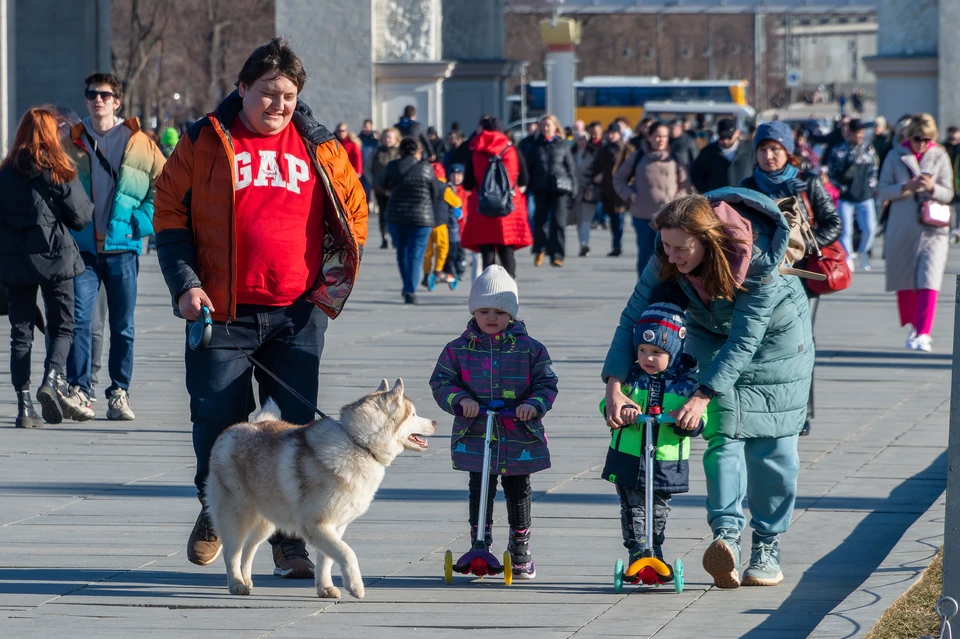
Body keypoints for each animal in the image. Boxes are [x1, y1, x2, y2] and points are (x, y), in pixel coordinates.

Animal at [210, 378, 438, 596]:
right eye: (413, 414)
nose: (435, 422)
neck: (358, 444)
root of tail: (233, 429)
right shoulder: (316, 524)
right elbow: (347, 552)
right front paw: (355, 586)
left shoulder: (334, 526)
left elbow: (327, 559)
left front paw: (325, 588)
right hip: (237, 517)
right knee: (232, 552)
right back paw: (237, 583)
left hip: (267, 521)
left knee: (248, 548)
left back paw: (246, 580)